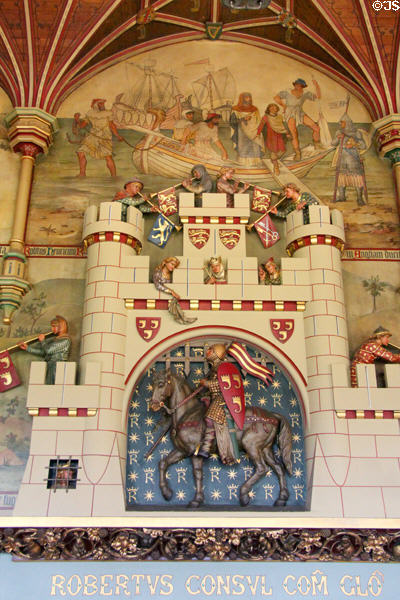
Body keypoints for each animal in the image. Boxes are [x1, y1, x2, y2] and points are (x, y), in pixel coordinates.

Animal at [148, 368, 292, 508]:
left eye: (161, 384)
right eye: (152, 384)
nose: (153, 405)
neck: (187, 413)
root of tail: (273, 415)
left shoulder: (195, 452)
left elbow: (197, 473)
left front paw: (197, 500)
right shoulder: (181, 450)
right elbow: (163, 463)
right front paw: (166, 493)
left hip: (251, 445)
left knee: (262, 468)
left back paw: (244, 495)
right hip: (266, 449)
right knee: (279, 467)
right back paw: (281, 499)